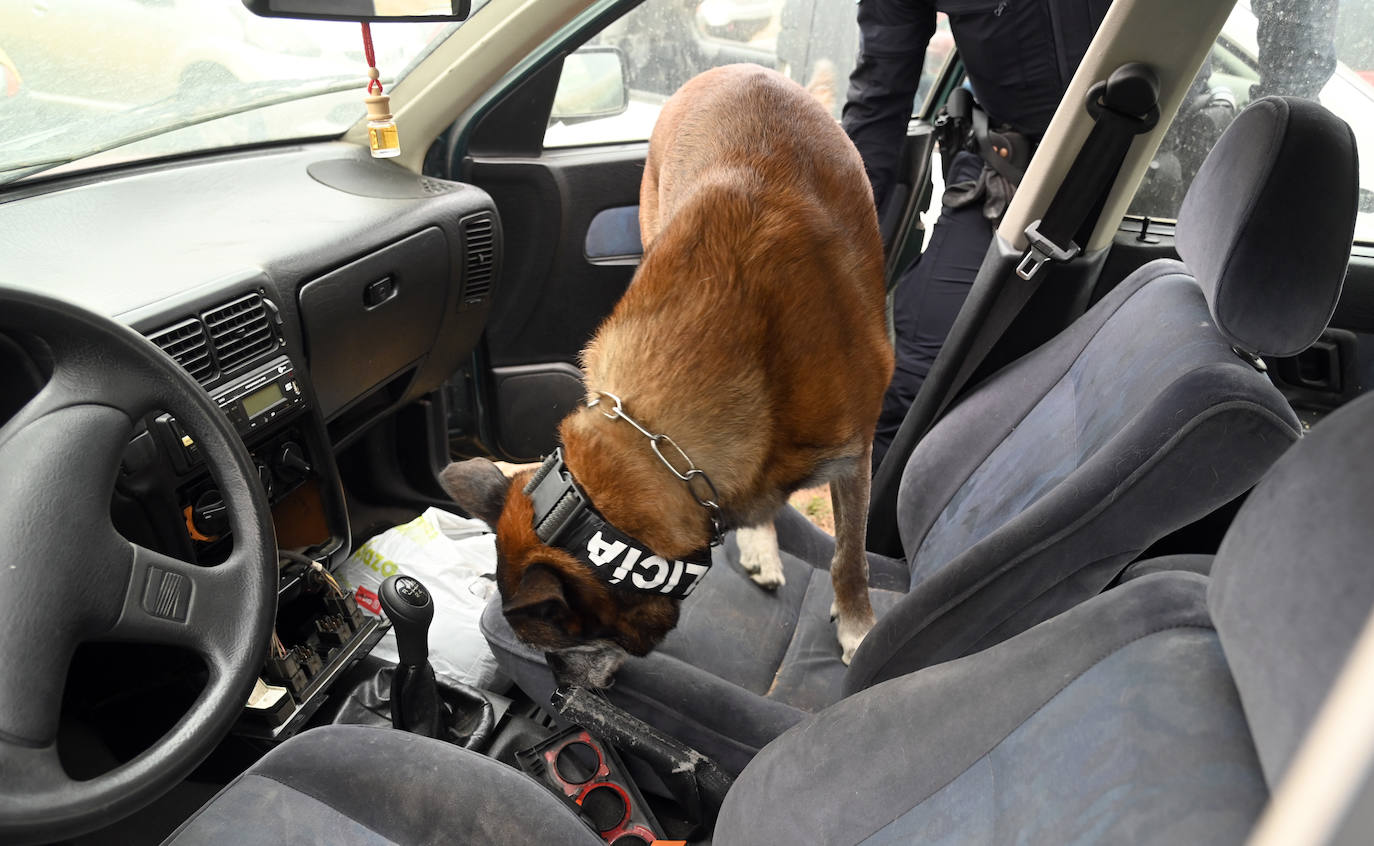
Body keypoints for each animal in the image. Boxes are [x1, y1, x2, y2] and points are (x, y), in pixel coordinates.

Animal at [439, 64, 890, 686]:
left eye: (562, 640)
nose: (560, 691)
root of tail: (740, 68)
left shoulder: (855, 453)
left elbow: (850, 555)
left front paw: (858, 627)